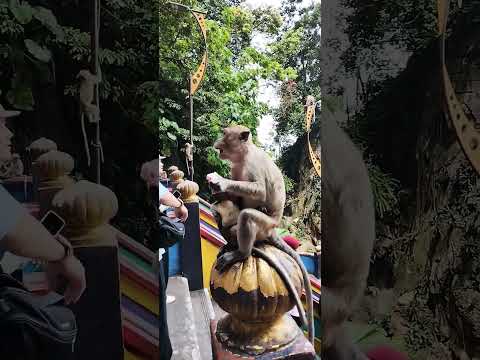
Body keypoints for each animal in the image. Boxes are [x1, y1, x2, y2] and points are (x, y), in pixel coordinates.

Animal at [206, 125, 316, 344]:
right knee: (227, 210)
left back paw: (241, 252)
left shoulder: (253, 164)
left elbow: (260, 192)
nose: (217, 142)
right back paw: (229, 241)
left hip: (264, 225)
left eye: (225, 134)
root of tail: (273, 229)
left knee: (247, 216)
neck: (243, 155)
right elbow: (234, 198)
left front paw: (220, 181)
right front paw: (216, 189)